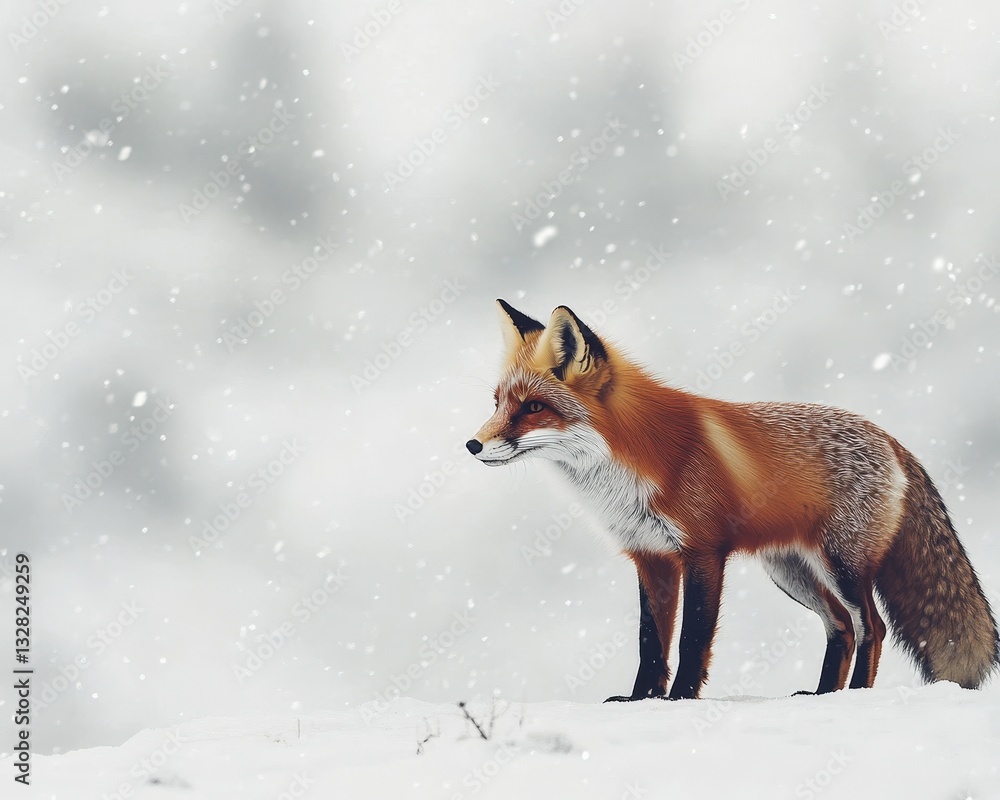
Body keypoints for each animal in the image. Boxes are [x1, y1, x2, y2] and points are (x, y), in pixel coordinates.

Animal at [466, 299, 999, 700]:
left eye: (534, 407)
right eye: (497, 403)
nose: (472, 445)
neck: (625, 468)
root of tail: (892, 439)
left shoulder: (702, 552)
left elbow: (692, 638)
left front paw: (680, 699)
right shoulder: (650, 556)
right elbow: (650, 642)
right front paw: (641, 700)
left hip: (841, 564)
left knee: (872, 626)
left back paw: (852, 697)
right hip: (790, 571)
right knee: (841, 627)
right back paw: (821, 695)